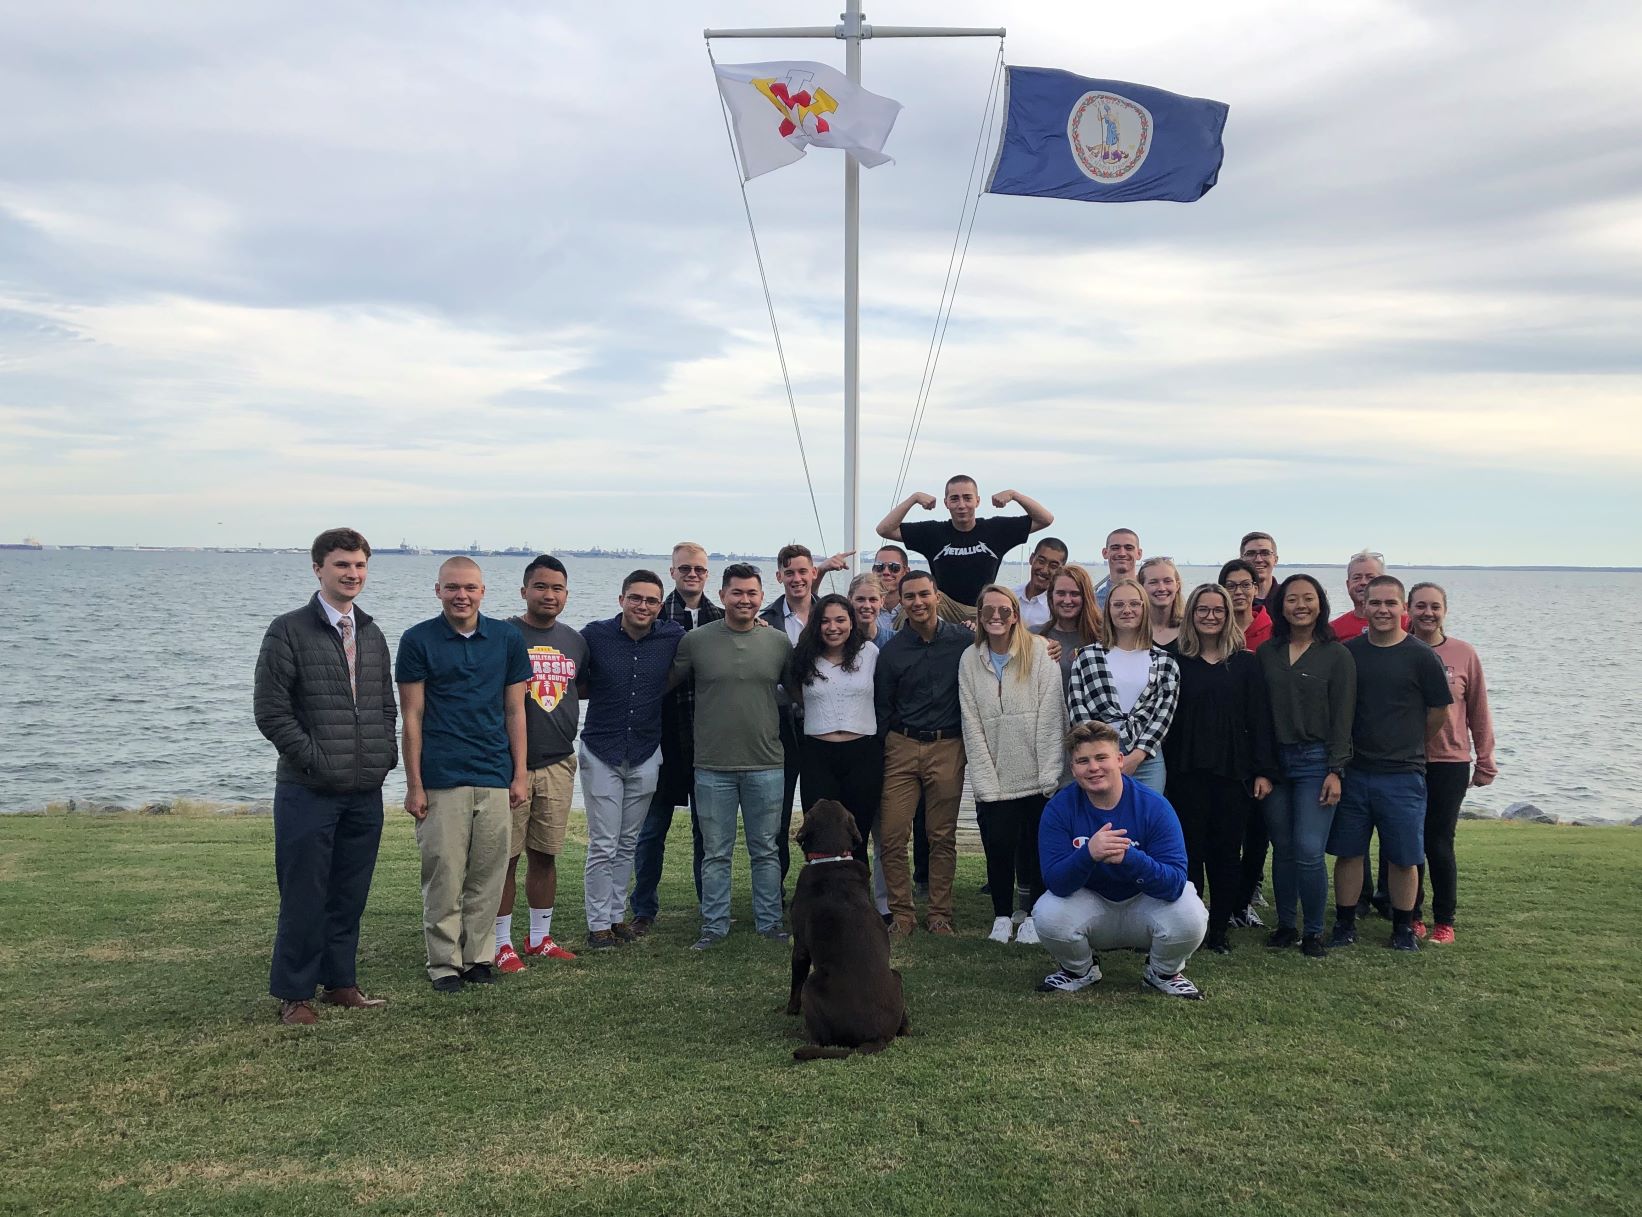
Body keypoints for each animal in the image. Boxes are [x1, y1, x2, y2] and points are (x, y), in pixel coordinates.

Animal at [784, 798, 912, 1051]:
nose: (824, 797)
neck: (832, 857)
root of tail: (875, 1036)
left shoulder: (800, 947)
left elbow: (795, 983)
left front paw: (789, 1010)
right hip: (897, 975)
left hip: (812, 986)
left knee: (820, 1038)